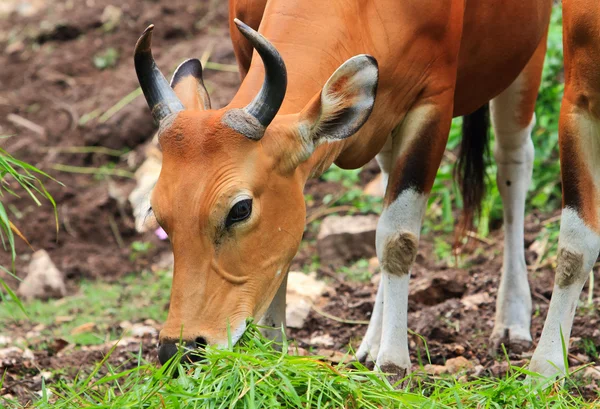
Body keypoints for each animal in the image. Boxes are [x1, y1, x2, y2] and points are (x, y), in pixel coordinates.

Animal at [132, 0, 596, 378]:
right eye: (158, 212)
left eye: (239, 209)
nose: (179, 349)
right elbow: (287, 247)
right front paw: (274, 348)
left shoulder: (433, 103)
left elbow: (398, 239)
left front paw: (394, 362)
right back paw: (371, 339)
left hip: (527, 59)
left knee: (513, 163)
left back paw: (512, 317)